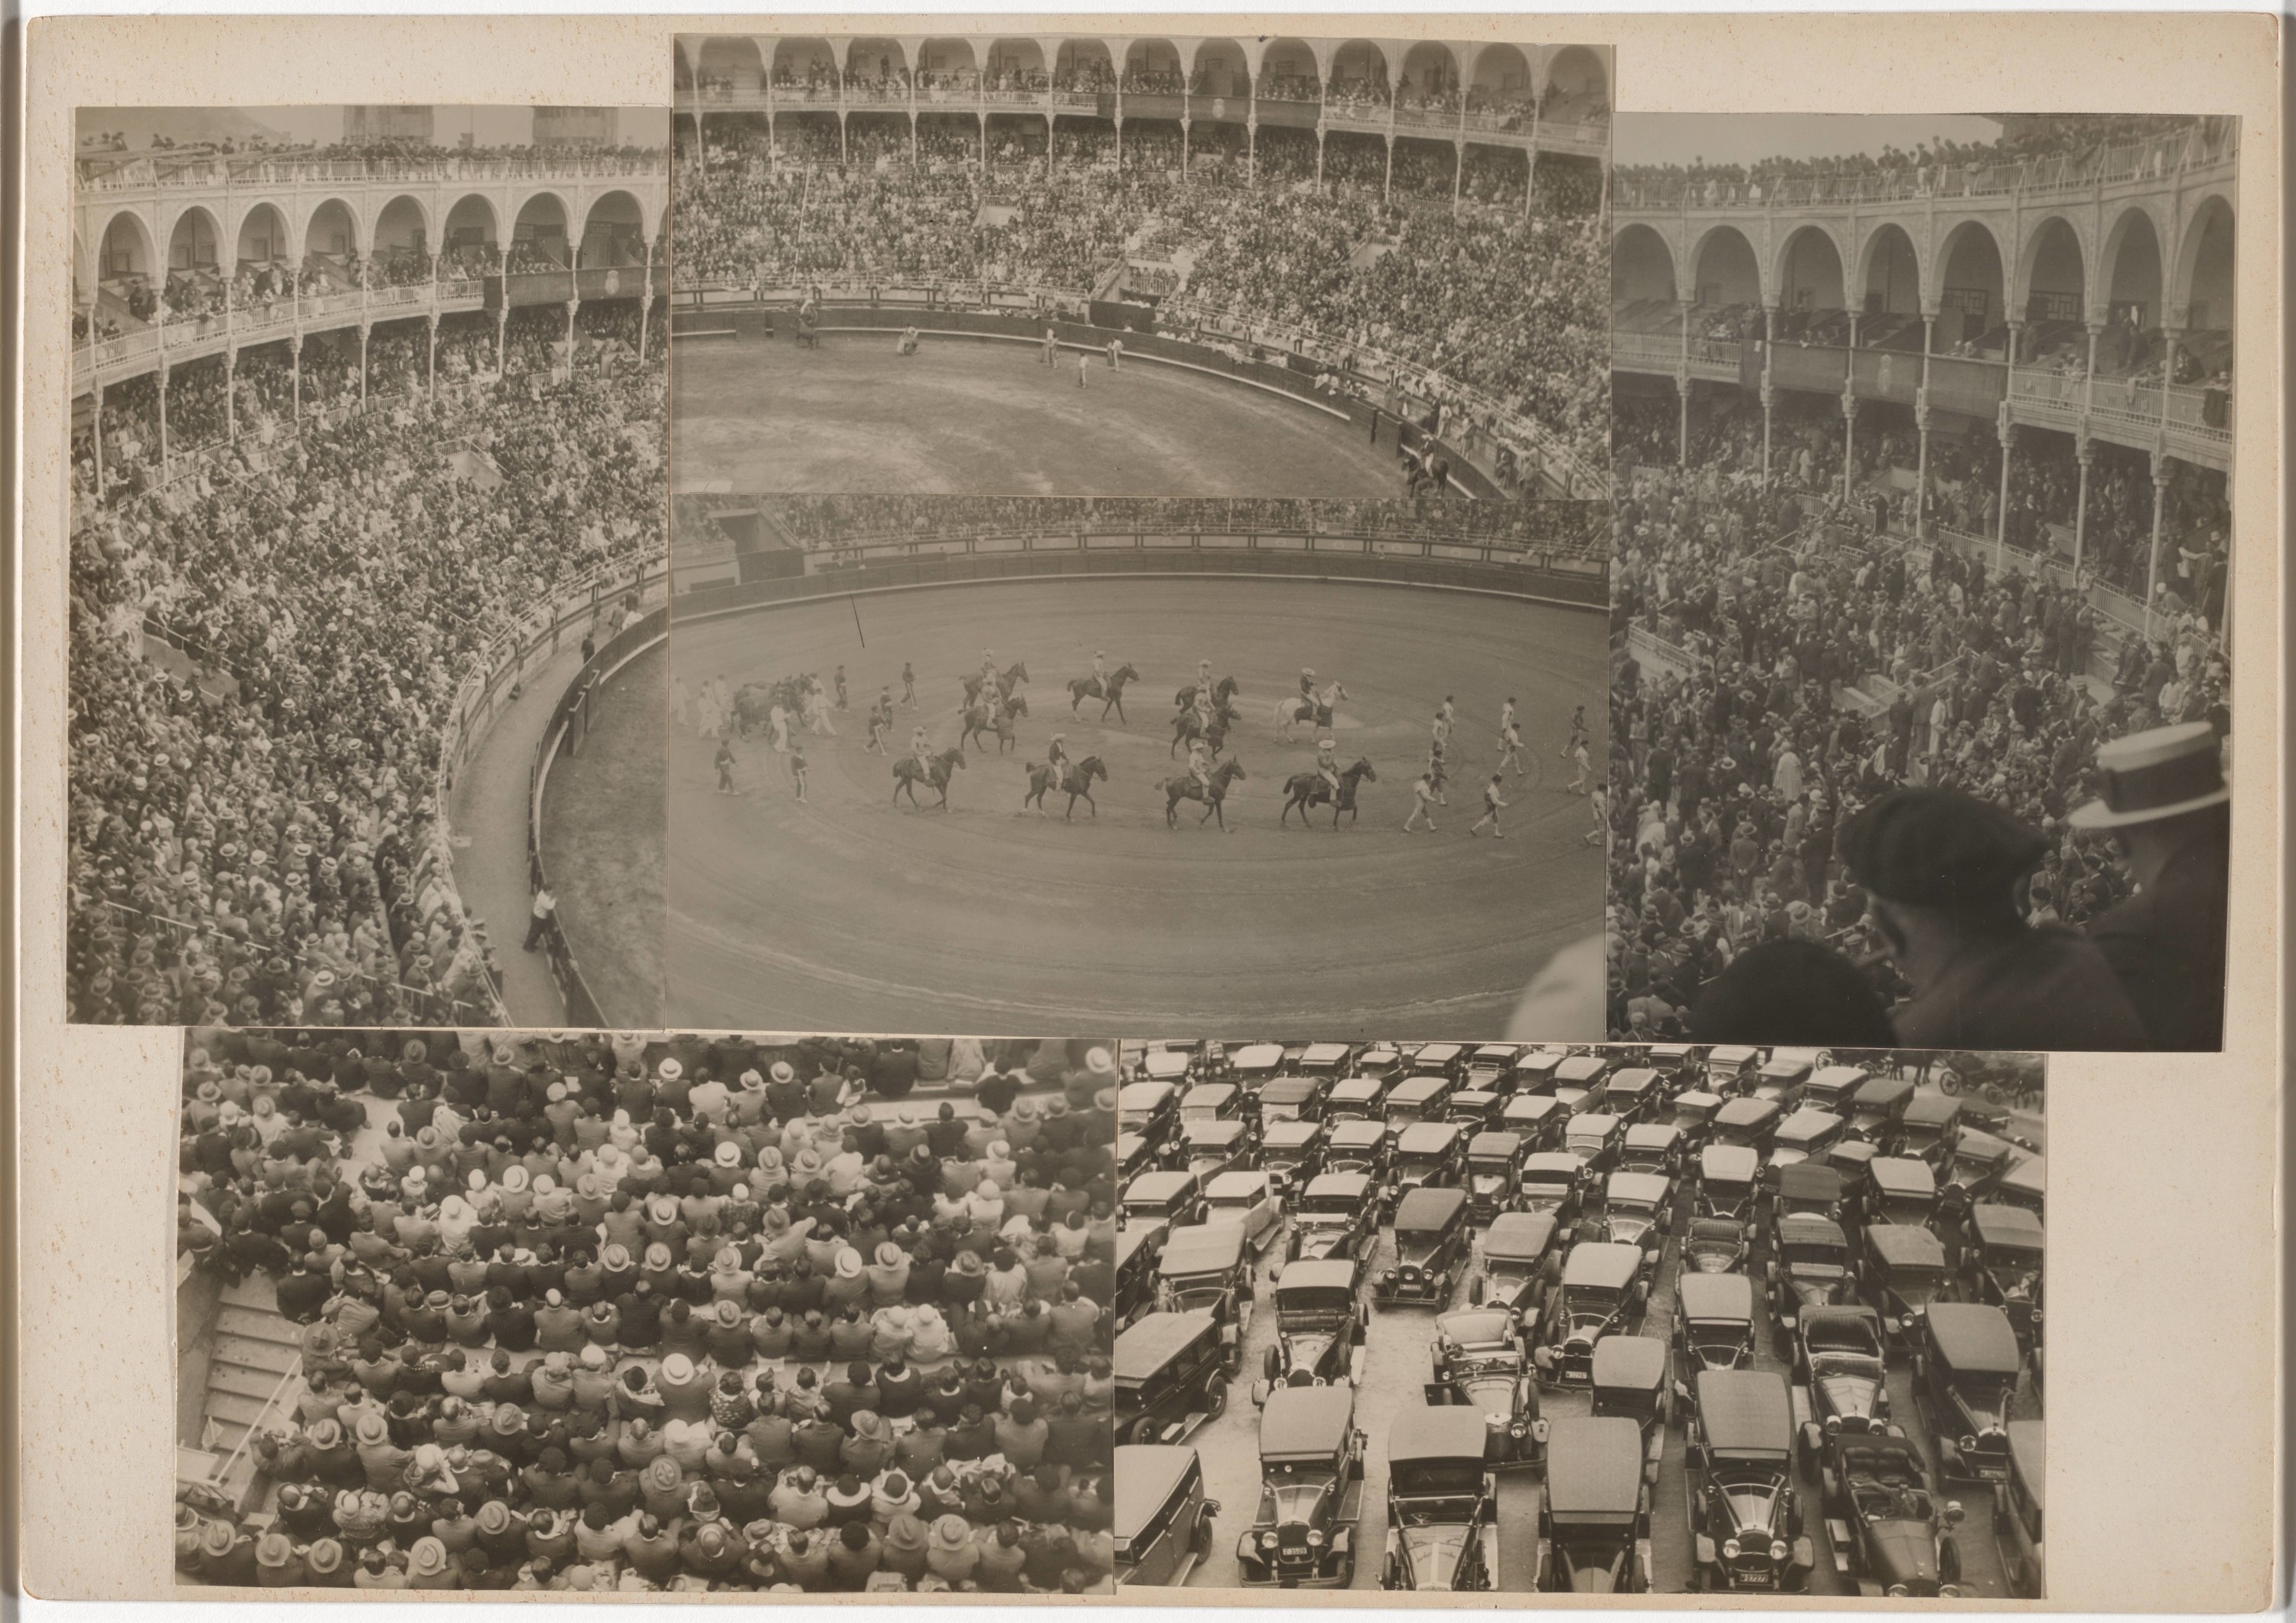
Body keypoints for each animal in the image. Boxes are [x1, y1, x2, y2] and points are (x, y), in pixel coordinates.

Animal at [1277, 753, 1378, 817]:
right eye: (1369, 767)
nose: (1374, 778)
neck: (1348, 780)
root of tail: (1296, 776)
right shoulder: (1344, 801)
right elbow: (1339, 813)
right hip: (1298, 796)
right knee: (1288, 804)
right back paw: (1283, 823)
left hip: (1303, 796)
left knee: (1300, 807)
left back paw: (1308, 824)